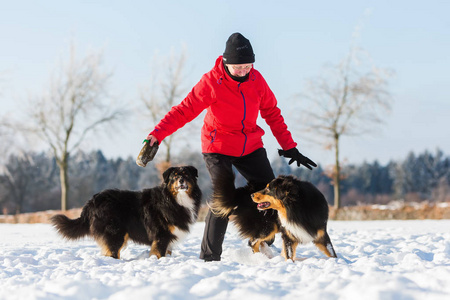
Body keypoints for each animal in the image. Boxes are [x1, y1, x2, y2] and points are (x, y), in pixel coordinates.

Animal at [50, 165, 202, 258]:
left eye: (186, 174)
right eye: (174, 176)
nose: (181, 180)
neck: (173, 199)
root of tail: (92, 201)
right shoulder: (161, 235)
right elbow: (159, 253)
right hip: (115, 233)